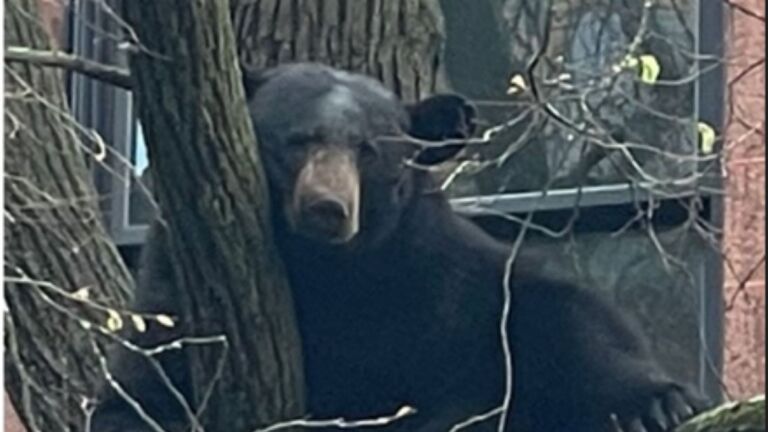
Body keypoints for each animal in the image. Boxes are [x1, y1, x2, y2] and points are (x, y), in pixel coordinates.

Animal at [91, 63, 709, 432]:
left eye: (369, 149)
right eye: (296, 140)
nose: (327, 208)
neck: (331, 274)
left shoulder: (440, 284)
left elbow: (562, 321)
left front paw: (661, 402)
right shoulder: (175, 288)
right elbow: (143, 391)